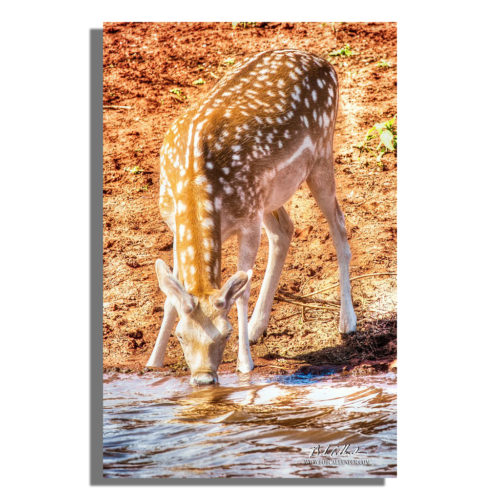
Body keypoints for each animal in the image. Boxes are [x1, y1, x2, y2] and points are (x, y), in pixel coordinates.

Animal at [146, 48, 358, 384]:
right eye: (181, 336)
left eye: (226, 333)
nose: (204, 379)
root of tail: (325, 63)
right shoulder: (173, 222)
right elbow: (170, 296)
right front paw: (153, 363)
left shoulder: (248, 221)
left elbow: (242, 291)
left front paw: (245, 365)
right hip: (269, 195)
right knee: (285, 230)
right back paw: (259, 327)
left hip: (321, 155)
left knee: (338, 222)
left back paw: (347, 322)